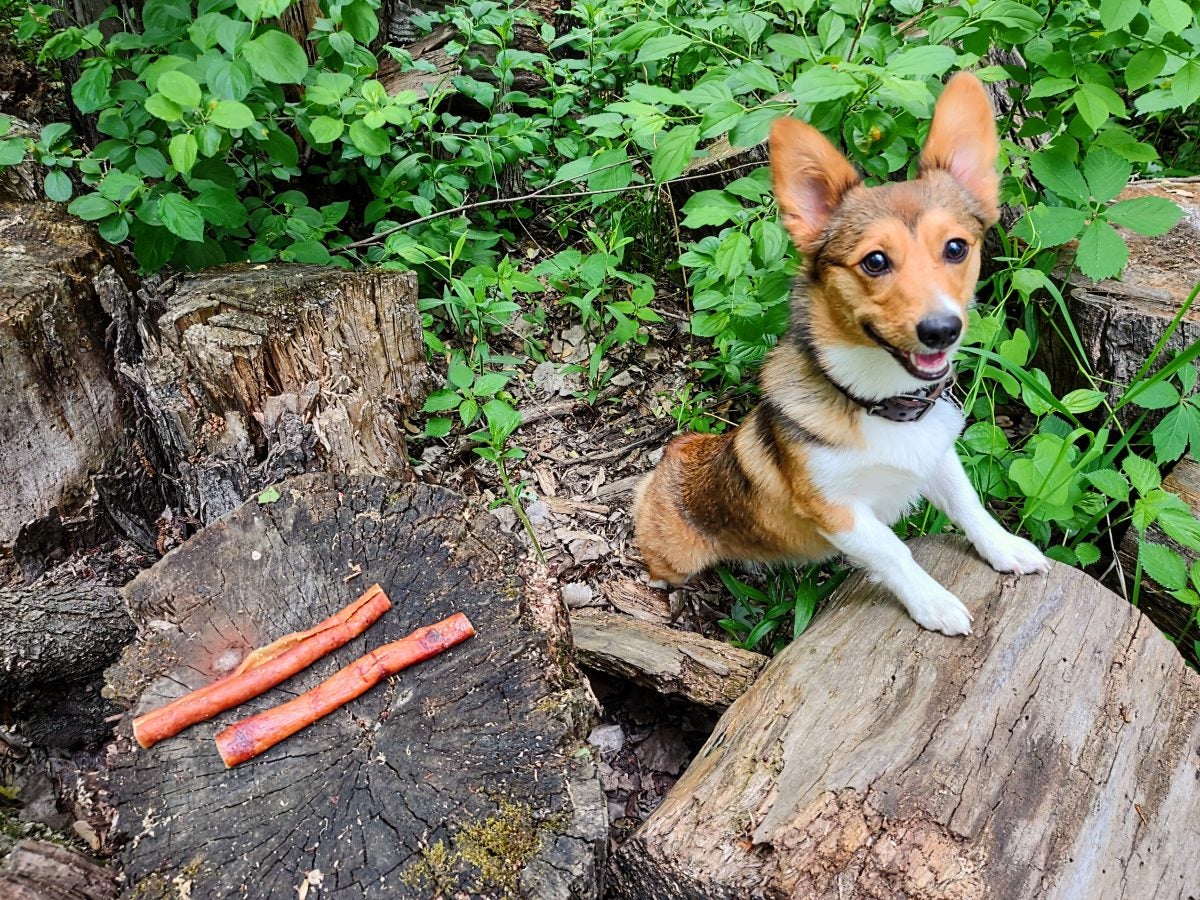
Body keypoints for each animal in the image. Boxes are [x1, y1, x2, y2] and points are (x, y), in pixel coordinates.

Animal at [633, 74, 1046, 638]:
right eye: (874, 261)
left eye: (957, 248)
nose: (941, 330)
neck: (880, 405)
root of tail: (673, 454)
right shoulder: (838, 512)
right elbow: (894, 552)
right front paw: (934, 603)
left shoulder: (938, 459)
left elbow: (970, 506)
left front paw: (1006, 549)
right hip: (675, 555)